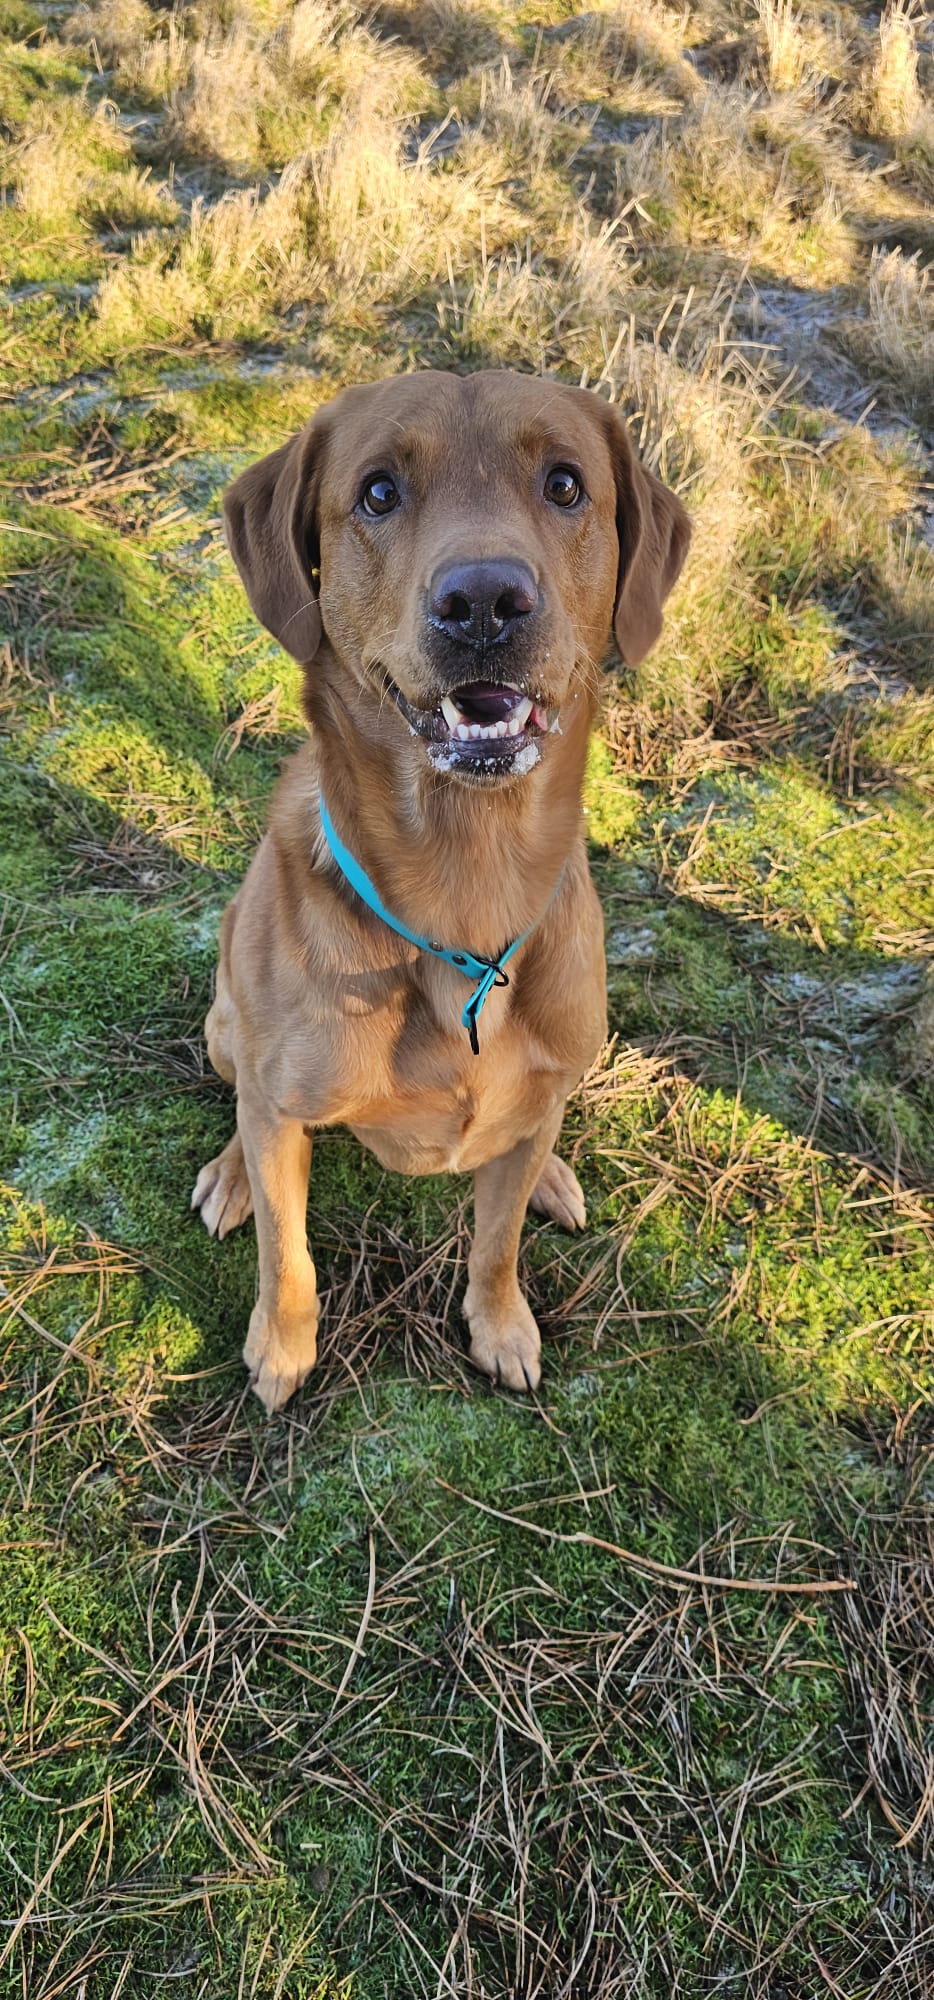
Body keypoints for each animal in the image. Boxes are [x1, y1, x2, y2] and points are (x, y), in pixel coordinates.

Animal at [190, 372, 692, 1408]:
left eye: (566, 484)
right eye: (379, 492)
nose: (485, 601)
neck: (468, 890)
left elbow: (495, 1246)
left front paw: (501, 1326)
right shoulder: (282, 1108)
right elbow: (286, 1253)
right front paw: (281, 1349)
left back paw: (553, 1176)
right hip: (227, 1028)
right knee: (240, 1105)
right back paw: (229, 1176)